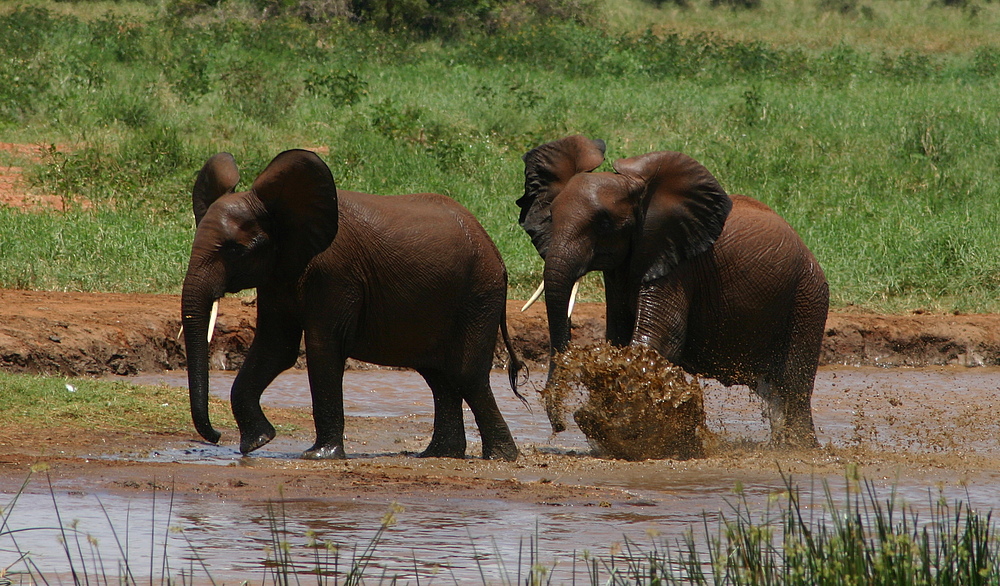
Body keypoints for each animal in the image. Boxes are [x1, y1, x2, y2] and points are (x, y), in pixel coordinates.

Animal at [182, 148, 524, 458]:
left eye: (236, 250)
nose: (216, 436)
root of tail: (493, 247)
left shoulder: (336, 274)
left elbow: (322, 348)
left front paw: (318, 455)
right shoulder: (277, 275)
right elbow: (274, 346)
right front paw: (258, 443)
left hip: (479, 293)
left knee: (466, 375)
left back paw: (501, 457)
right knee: (438, 377)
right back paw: (437, 454)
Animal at [516, 136, 828, 448]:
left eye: (604, 223)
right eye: (551, 216)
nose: (559, 427)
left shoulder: (678, 263)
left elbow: (658, 338)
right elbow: (618, 337)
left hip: (807, 298)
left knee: (793, 385)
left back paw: (799, 449)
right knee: (775, 392)